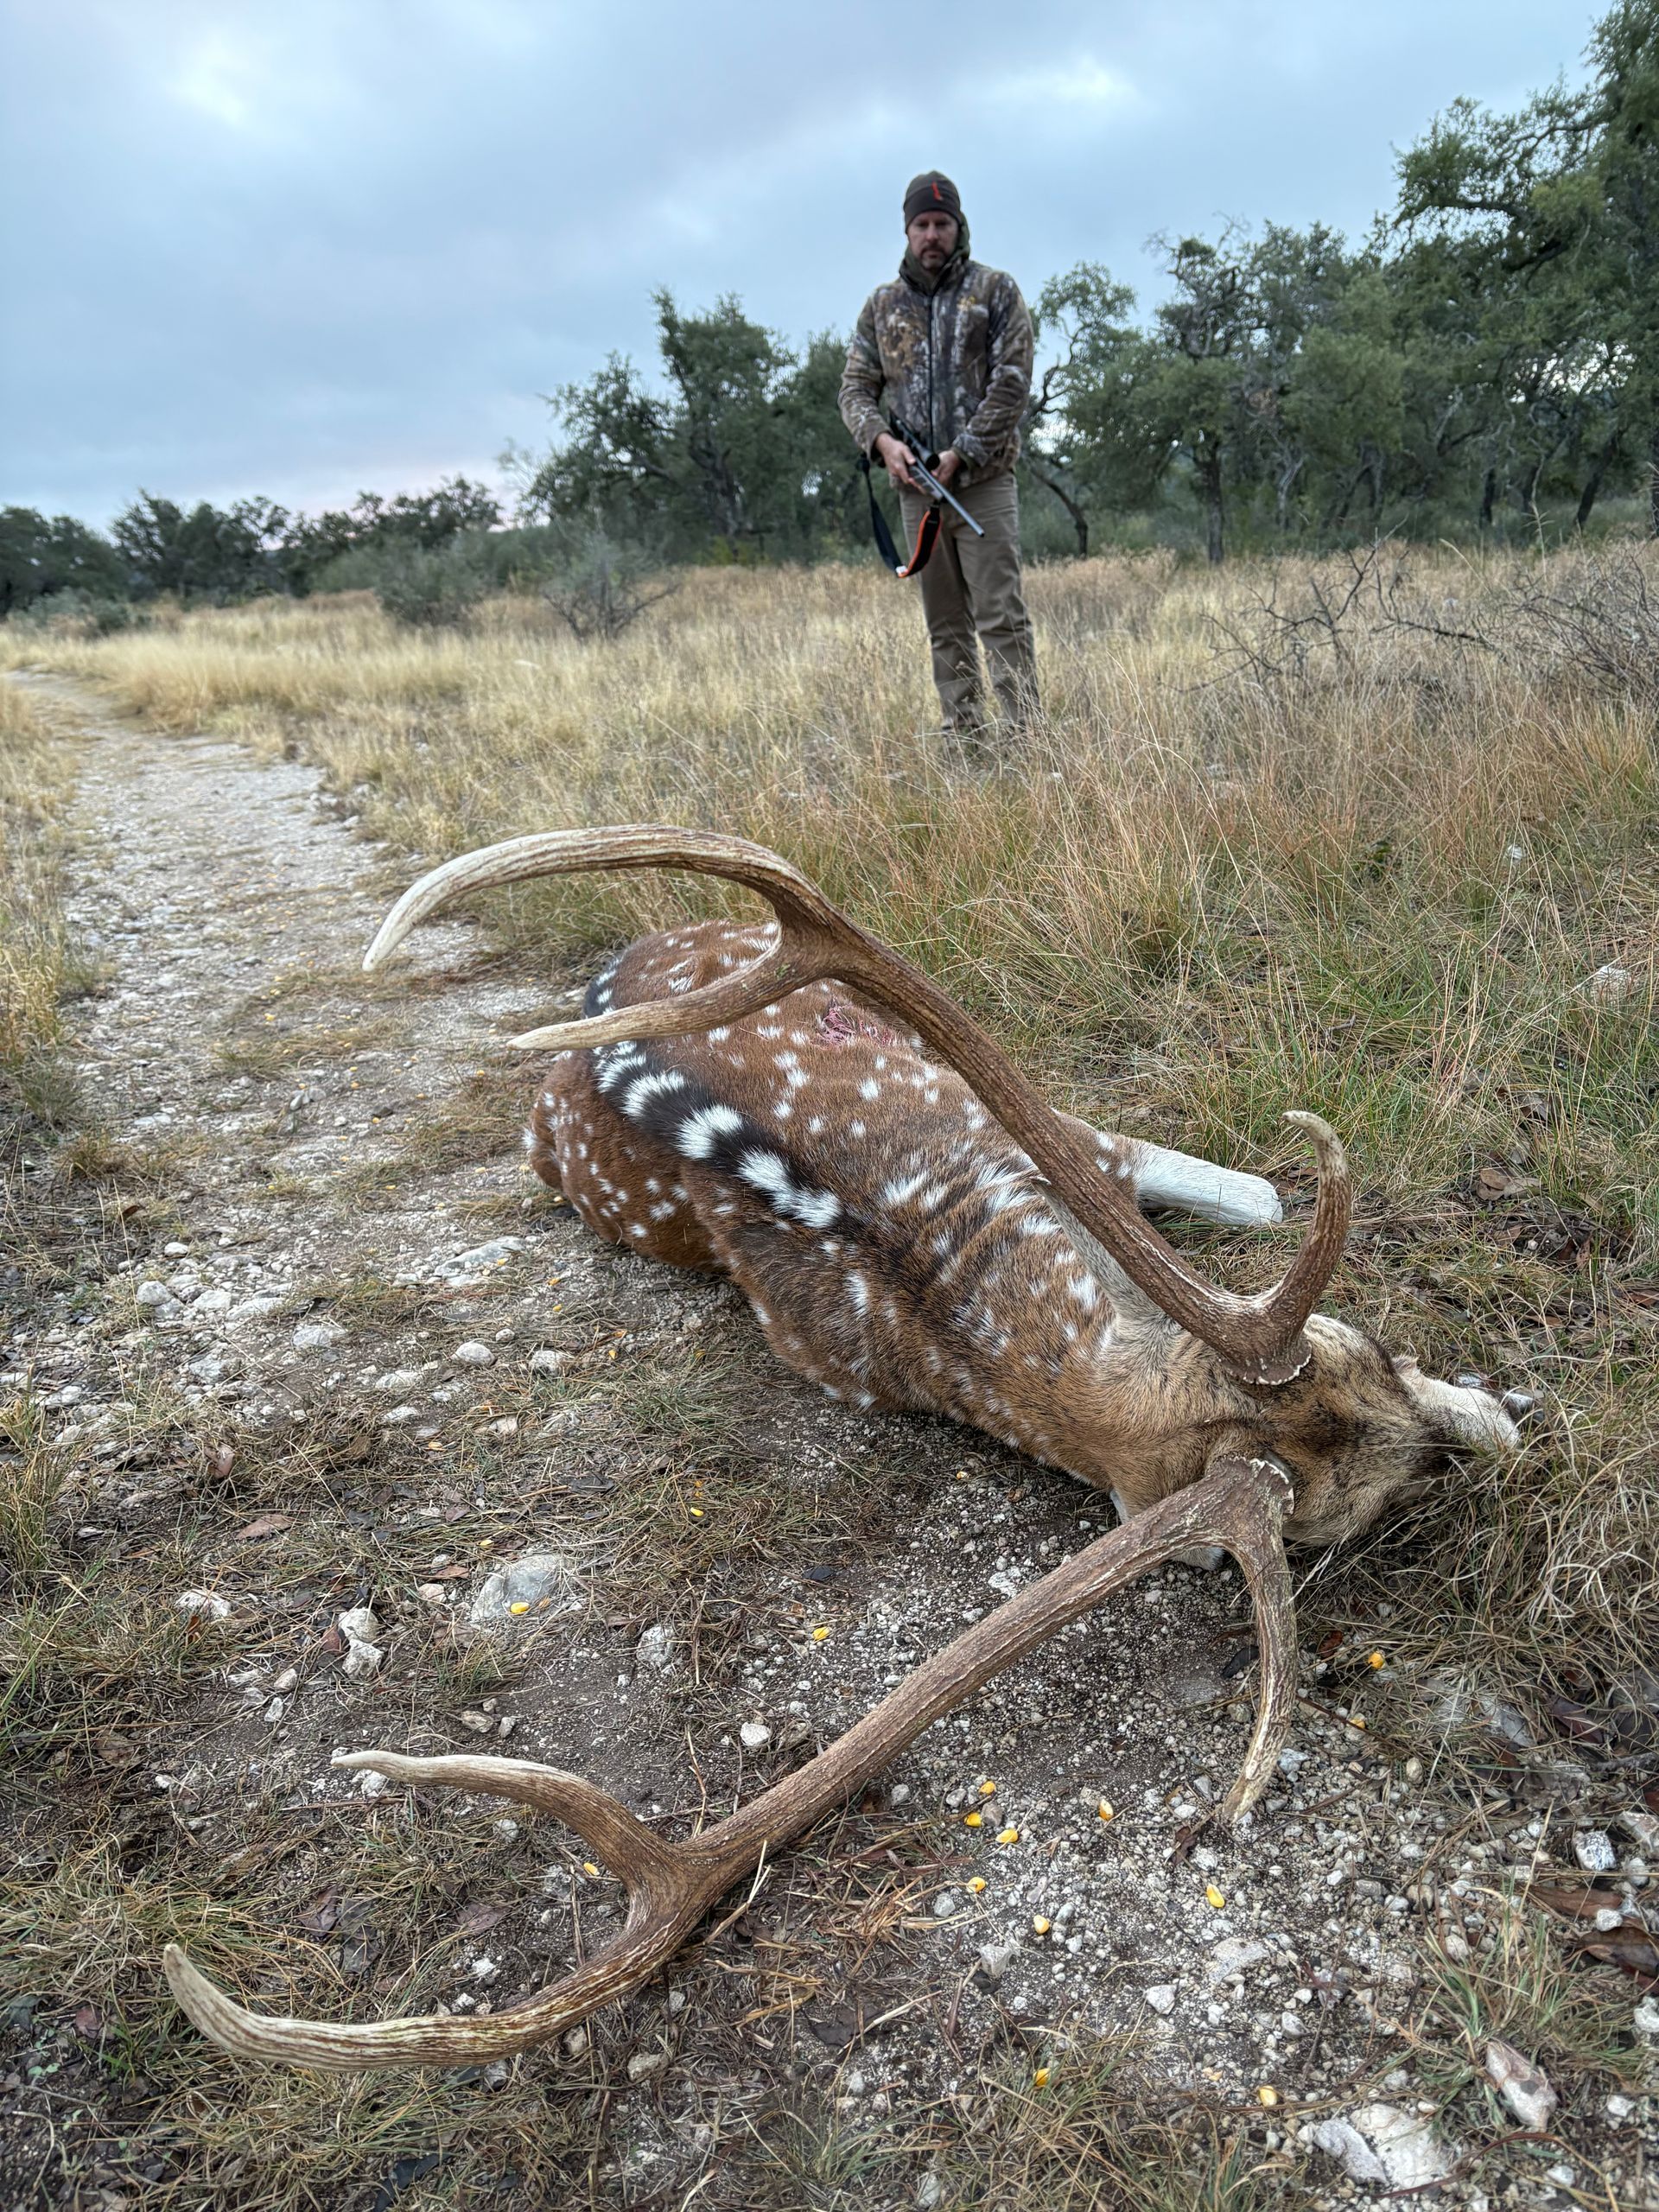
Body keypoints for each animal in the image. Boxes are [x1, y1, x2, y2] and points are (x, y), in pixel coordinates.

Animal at [165, 825, 1528, 2070]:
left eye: (1368, 1347)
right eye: (1328, 1520)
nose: (1456, 1460)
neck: (929, 1256)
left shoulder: (1082, 1143)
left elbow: (1264, 1192)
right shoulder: (1089, 1149)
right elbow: (1265, 1191)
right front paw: (1508, 1412)